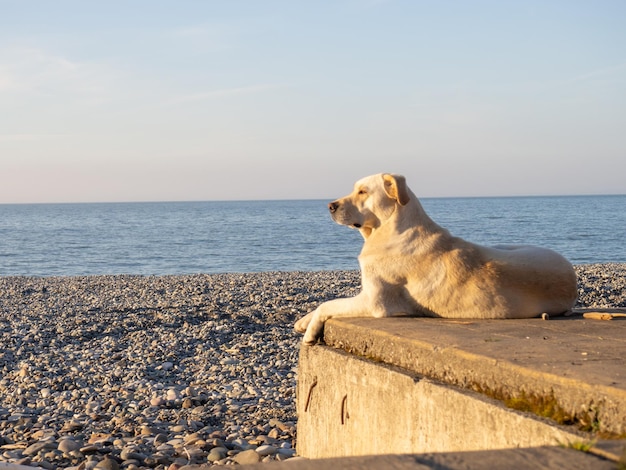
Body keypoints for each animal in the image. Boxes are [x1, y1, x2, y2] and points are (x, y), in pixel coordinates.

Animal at [294, 173, 576, 346]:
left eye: (363, 192)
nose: (330, 206)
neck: (391, 229)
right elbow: (325, 303)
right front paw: (303, 321)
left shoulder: (376, 302)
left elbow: (328, 304)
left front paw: (310, 331)